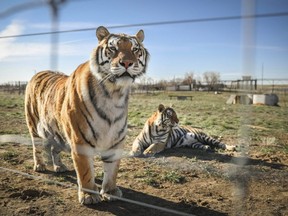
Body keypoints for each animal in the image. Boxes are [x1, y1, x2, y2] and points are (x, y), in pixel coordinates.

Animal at [25, 26, 148, 205]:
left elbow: (112, 170)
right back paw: (39, 166)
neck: (114, 94)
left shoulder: (116, 140)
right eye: (113, 48)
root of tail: (38, 72)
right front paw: (89, 195)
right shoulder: (80, 139)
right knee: (37, 147)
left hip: (58, 133)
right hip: (34, 126)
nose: (126, 63)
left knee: (54, 149)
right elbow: (85, 171)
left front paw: (110, 192)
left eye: (135, 49)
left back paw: (59, 167)